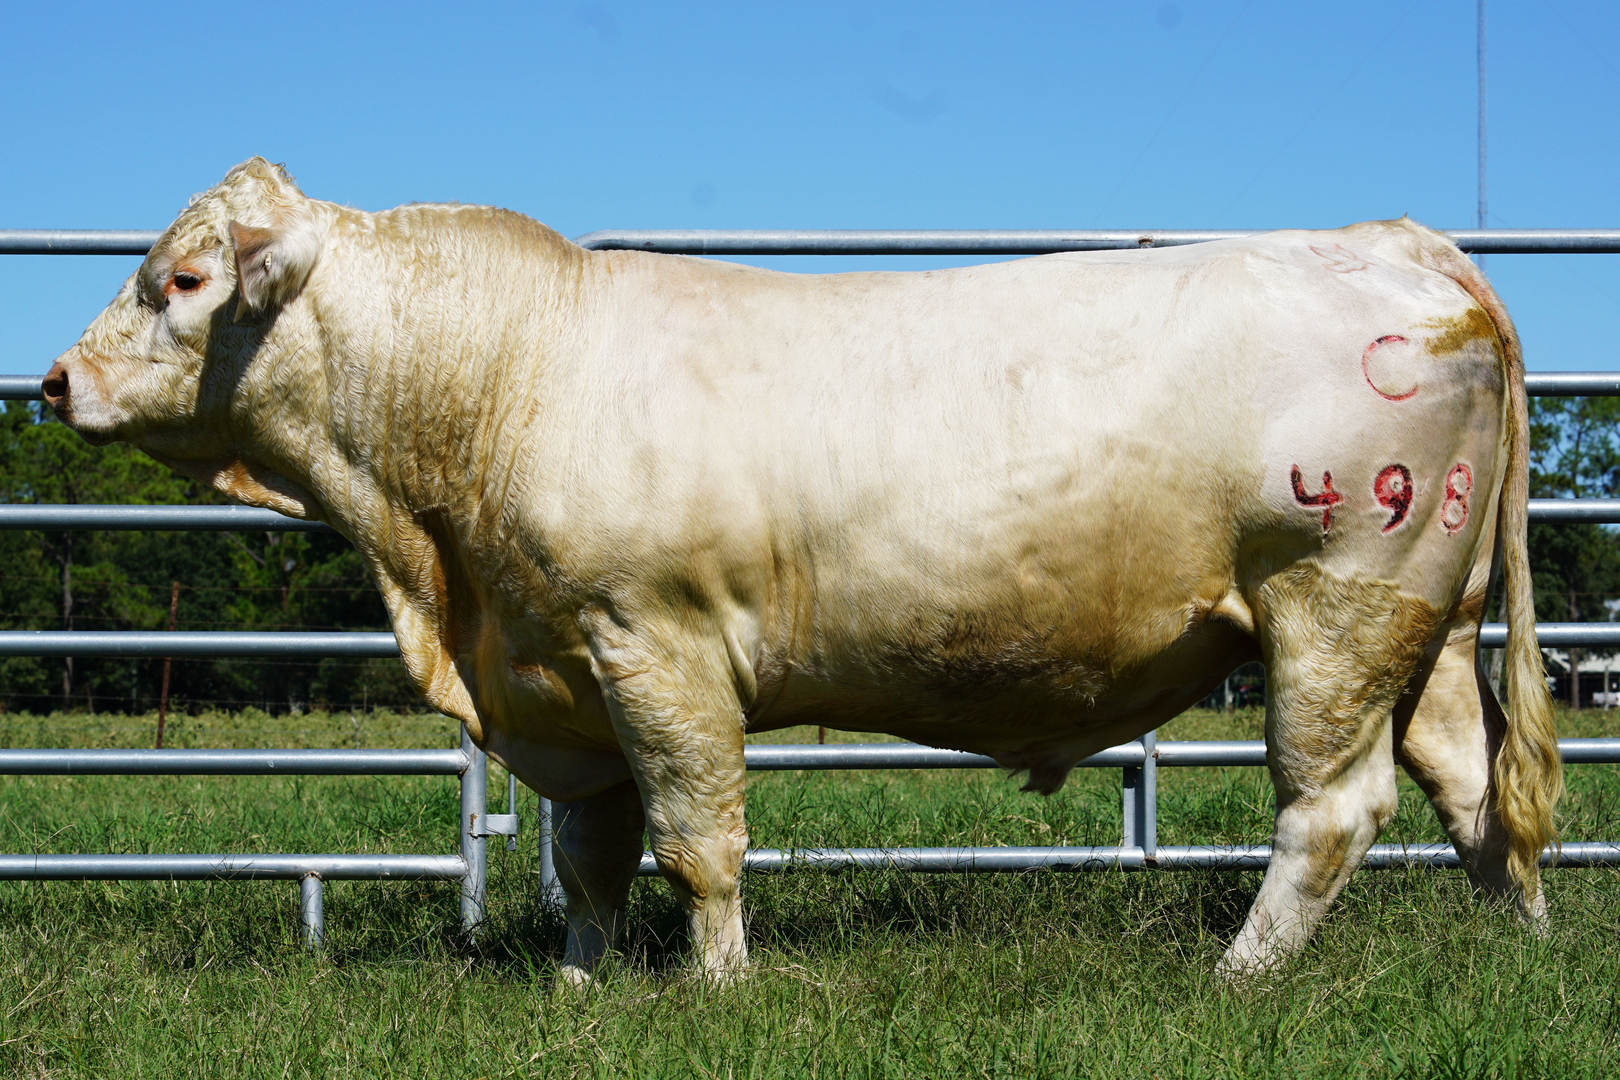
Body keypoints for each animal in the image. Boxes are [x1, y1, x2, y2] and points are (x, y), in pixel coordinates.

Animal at [41, 158, 1555, 977]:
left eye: (182, 281)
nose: (54, 382)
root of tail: (1397, 246)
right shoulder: (565, 674)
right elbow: (591, 856)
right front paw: (581, 994)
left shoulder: (656, 646)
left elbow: (697, 843)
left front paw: (716, 990)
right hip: (1428, 619)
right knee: (1476, 789)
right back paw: (1515, 947)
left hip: (1333, 602)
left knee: (1334, 808)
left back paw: (1239, 978)